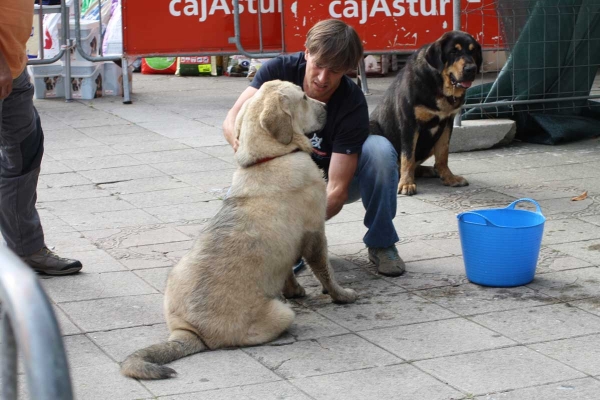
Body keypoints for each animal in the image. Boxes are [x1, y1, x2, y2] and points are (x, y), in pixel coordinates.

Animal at [120, 79, 356, 380]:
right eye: (304, 97)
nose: (326, 106)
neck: (271, 157)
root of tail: (190, 333)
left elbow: (289, 269)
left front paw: (294, 289)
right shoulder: (315, 232)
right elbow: (325, 271)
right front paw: (341, 295)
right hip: (280, 314)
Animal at [370, 30, 482, 195]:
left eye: (472, 51)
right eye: (453, 51)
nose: (471, 69)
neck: (438, 85)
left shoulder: (447, 124)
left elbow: (443, 155)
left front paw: (449, 178)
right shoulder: (409, 124)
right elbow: (408, 157)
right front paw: (406, 184)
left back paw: (431, 170)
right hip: (372, 128)